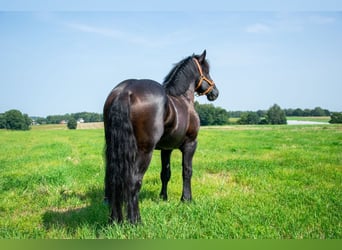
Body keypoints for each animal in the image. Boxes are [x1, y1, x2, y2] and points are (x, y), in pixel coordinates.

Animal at [103, 49, 219, 224]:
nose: (215, 93)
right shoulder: (190, 144)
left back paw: (115, 220)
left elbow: (165, 173)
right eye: (206, 71)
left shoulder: (166, 149)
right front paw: (186, 199)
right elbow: (187, 171)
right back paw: (136, 221)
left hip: (113, 148)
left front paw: (163, 197)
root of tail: (125, 91)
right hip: (144, 151)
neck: (183, 99)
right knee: (134, 181)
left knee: (114, 179)